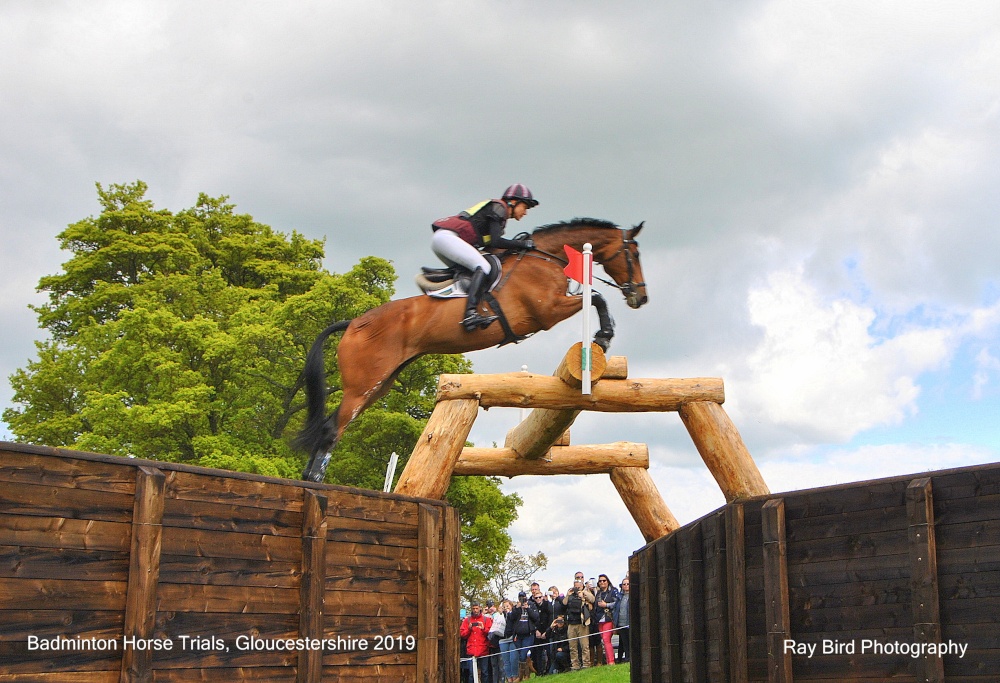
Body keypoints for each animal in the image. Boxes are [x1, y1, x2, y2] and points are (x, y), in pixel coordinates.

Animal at [292, 218, 648, 480]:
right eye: (635, 254)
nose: (640, 297)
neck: (546, 258)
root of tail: (353, 323)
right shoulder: (548, 311)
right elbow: (596, 297)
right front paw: (604, 335)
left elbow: (594, 296)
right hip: (364, 385)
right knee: (331, 428)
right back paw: (316, 480)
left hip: (380, 384)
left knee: (331, 425)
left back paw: (310, 477)